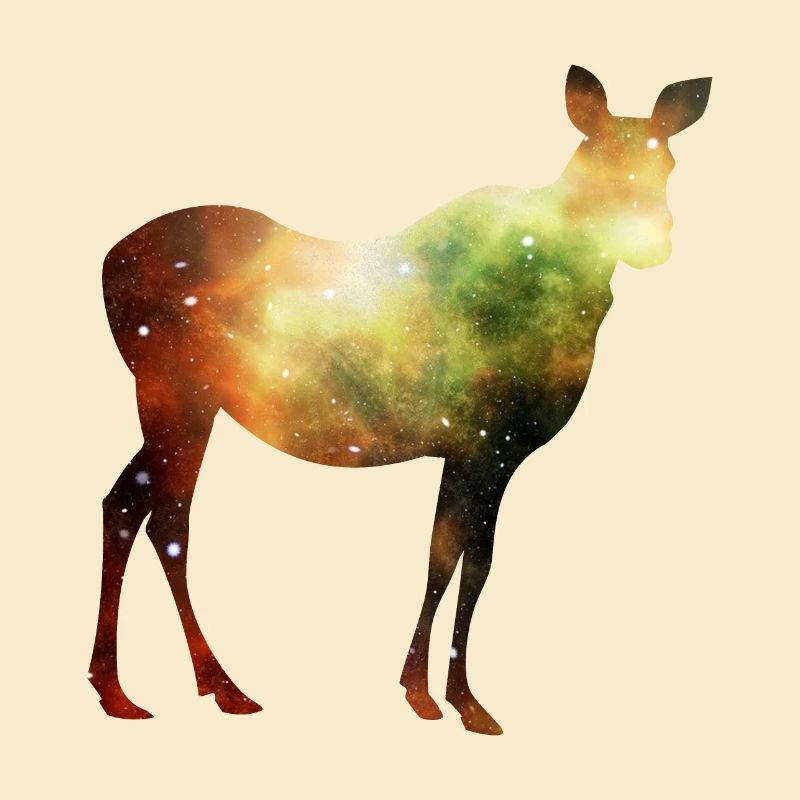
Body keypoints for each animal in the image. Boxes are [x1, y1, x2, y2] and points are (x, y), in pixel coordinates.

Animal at [89, 66, 711, 735]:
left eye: (669, 162)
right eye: (596, 158)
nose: (650, 242)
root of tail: (106, 262)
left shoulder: (475, 451)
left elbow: (456, 558)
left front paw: (437, 693)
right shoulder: (486, 445)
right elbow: (463, 560)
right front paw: (448, 698)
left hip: (180, 406)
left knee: (126, 503)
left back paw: (122, 688)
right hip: (180, 397)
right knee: (167, 518)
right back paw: (214, 685)